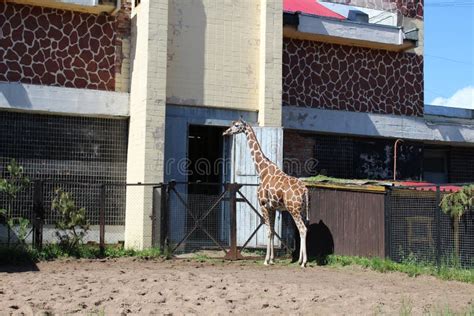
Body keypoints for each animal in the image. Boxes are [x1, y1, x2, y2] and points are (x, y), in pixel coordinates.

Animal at [223, 118, 310, 266]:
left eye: (236, 125)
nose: (225, 132)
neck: (262, 170)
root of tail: (305, 189)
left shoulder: (263, 204)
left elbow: (268, 231)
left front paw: (266, 260)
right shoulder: (273, 207)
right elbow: (273, 231)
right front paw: (272, 259)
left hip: (293, 209)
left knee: (303, 229)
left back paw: (303, 262)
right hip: (302, 210)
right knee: (302, 230)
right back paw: (300, 260)